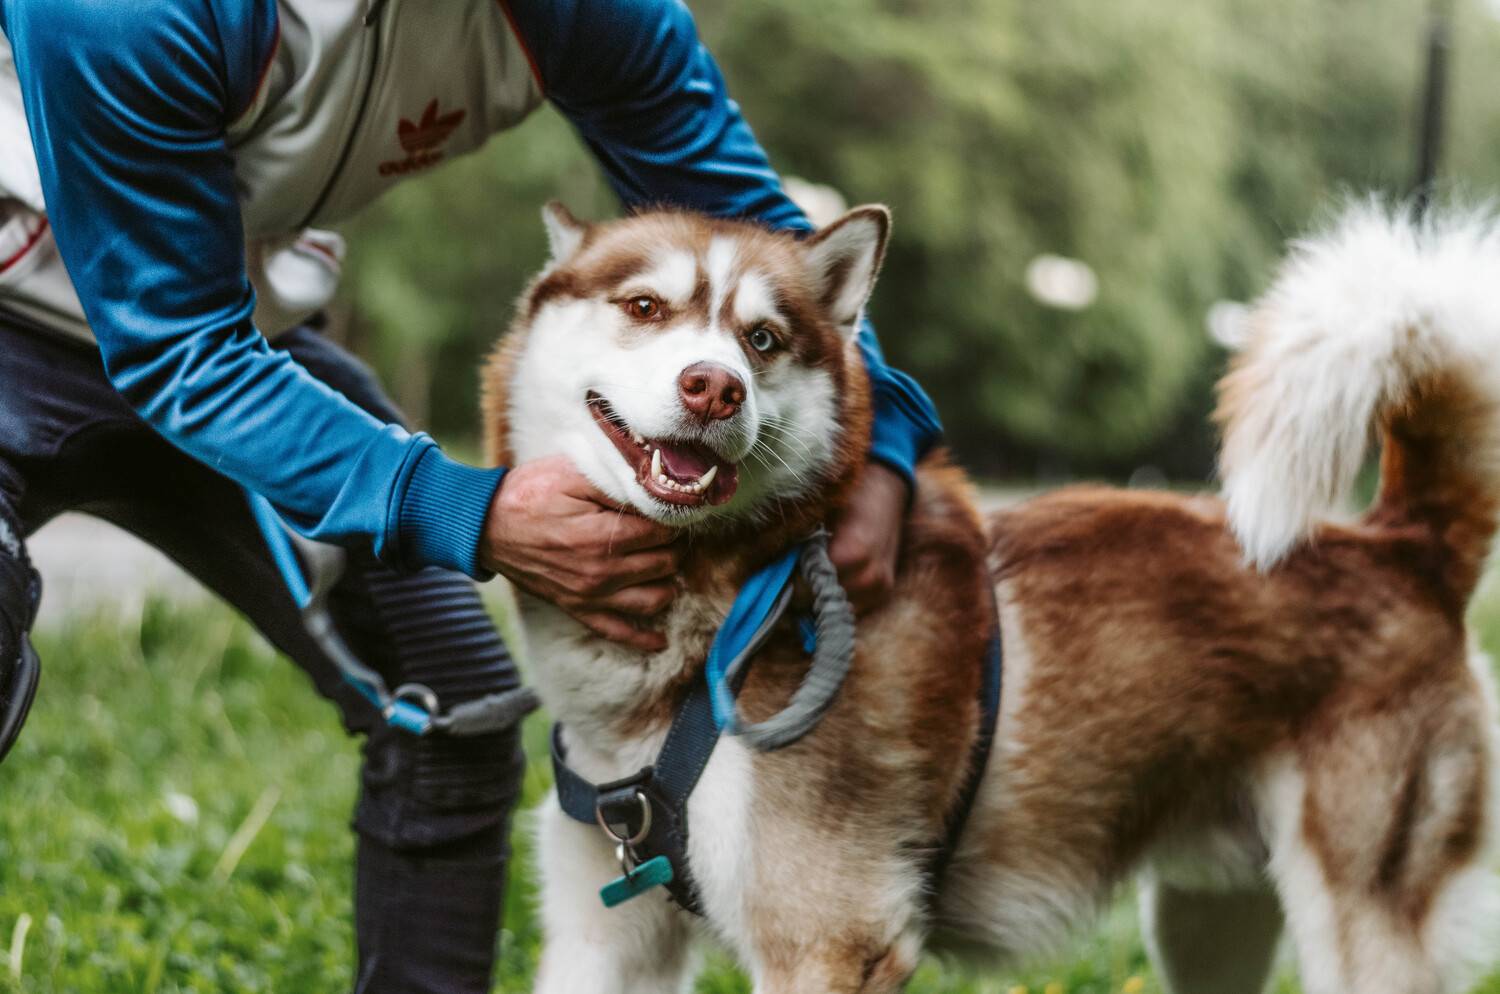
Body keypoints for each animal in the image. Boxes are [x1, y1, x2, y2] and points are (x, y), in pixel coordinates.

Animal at [481, 200, 1500, 993]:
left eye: (761, 339)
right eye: (644, 307)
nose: (713, 387)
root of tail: (1402, 542)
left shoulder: (830, 940)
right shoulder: (603, 938)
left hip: (1360, 925)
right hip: (1207, 919)